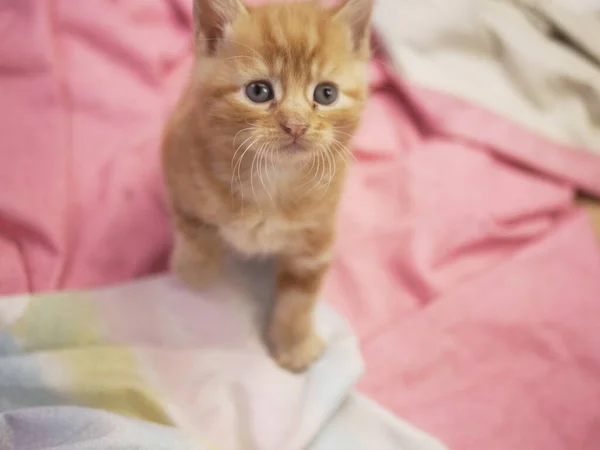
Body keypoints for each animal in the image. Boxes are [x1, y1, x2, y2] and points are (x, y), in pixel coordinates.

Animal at [162, 0, 372, 372]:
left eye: (326, 93)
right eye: (258, 91)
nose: (296, 125)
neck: (271, 180)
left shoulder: (316, 237)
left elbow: (299, 298)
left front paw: (294, 344)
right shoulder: (178, 161)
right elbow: (195, 230)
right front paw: (196, 271)